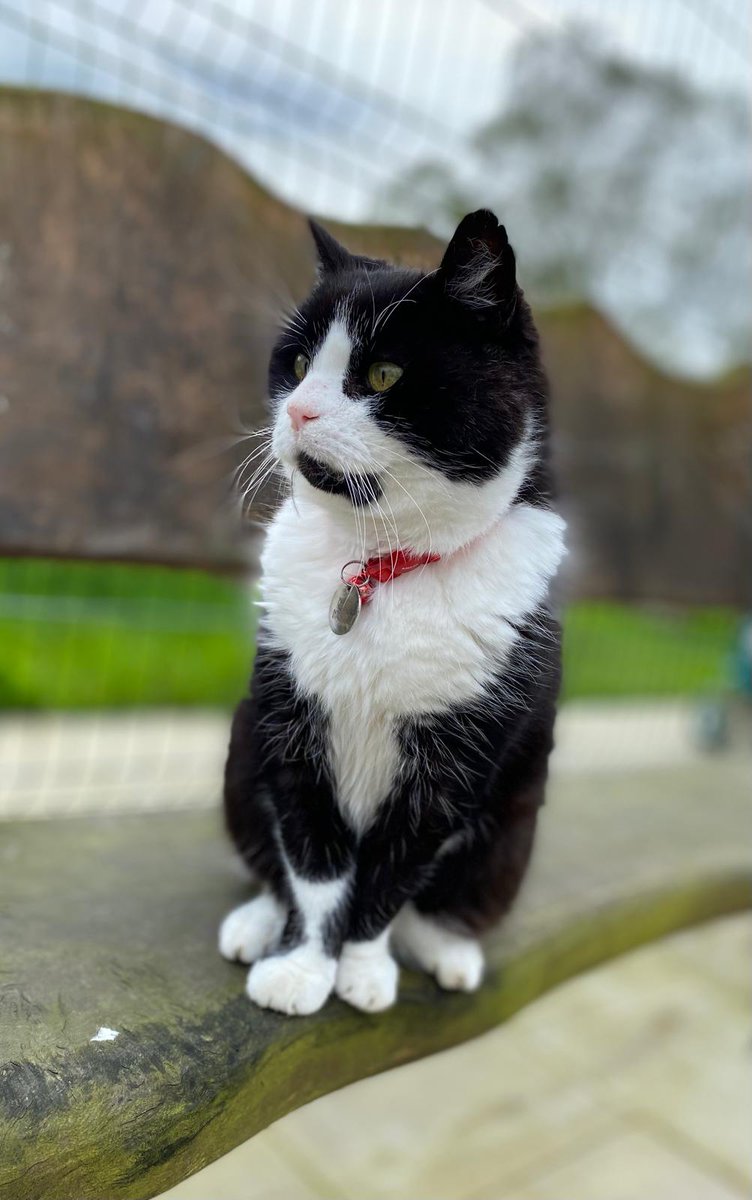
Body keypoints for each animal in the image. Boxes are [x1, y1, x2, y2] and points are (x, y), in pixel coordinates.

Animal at [218, 213, 566, 1012]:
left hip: (513, 826)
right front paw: (301, 966)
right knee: (271, 860)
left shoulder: (453, 763)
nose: (297, 409)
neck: (379, 566)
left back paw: (446, 949)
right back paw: (258, 921)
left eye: (382, 376)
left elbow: (390, 876)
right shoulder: (291, 725)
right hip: (242, 747)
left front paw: (362, 967)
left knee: (440, 901)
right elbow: (316, 868)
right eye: (299, 363)